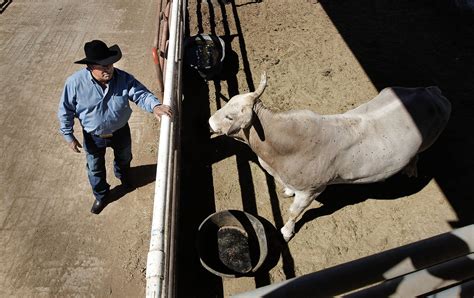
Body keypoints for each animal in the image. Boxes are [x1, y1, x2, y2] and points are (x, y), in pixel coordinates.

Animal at [208, 73, 452, 242]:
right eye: (228, 102)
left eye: (230, 116)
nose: (209, 122)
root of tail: (432, 92)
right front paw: (287, 191)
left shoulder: (312, 190)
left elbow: (294, 212)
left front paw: (286, 232)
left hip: (428, 141)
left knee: (416, 156)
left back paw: (410, 170)